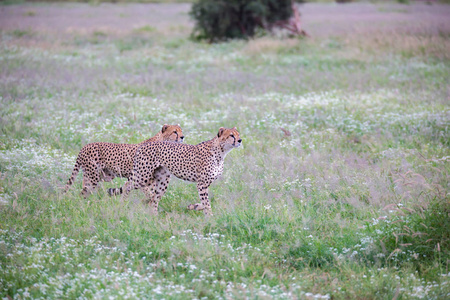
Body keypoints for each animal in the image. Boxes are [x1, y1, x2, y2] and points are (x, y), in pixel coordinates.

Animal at [108, 126, 243, 216]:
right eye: (231, 135)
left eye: (238, 134)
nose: (240, 140)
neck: (221, 151)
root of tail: (144, 144)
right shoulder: (202, 183)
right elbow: (206, 202)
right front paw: (210, 216)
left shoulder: (205, 183)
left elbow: (205, 201)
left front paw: (194, 206)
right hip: (143, 176)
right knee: (127, 185)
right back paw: (122, 205)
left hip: (162, 181)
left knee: (153, 200)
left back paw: (154, 218)